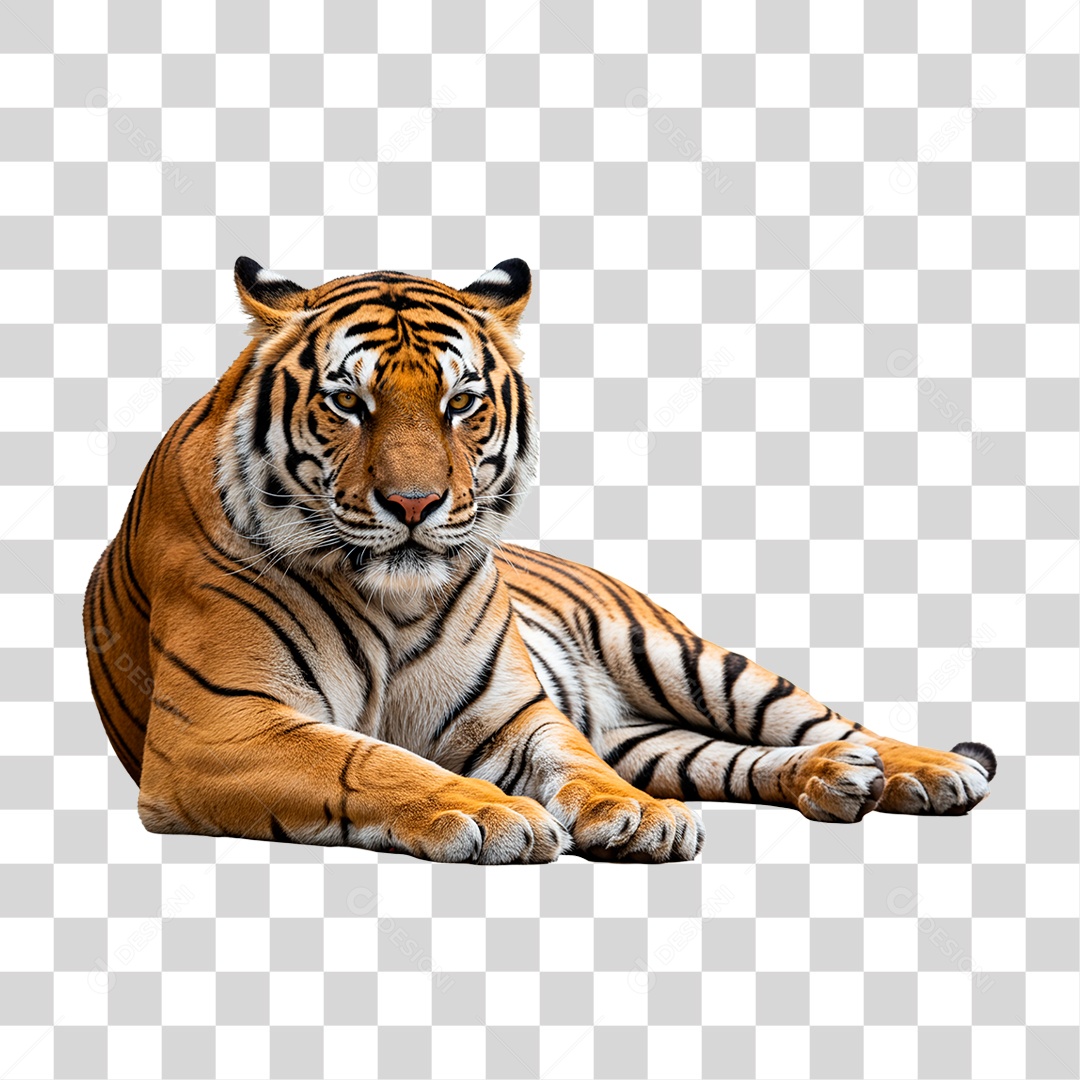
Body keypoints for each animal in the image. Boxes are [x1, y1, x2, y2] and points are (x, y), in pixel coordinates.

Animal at [82, 257, 997, 864]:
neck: (391, 599)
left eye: (461, 403)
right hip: (649, 732)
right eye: (349, 401)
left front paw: (639, 815)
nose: (412, 505)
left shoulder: (515, 714)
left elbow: (573, 762)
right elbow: (369, 758)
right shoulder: (221, 726)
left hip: (679, 655)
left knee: (823, 719)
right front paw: (495, 814)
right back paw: (839, 781)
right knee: (728, 757)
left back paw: (919, 769)